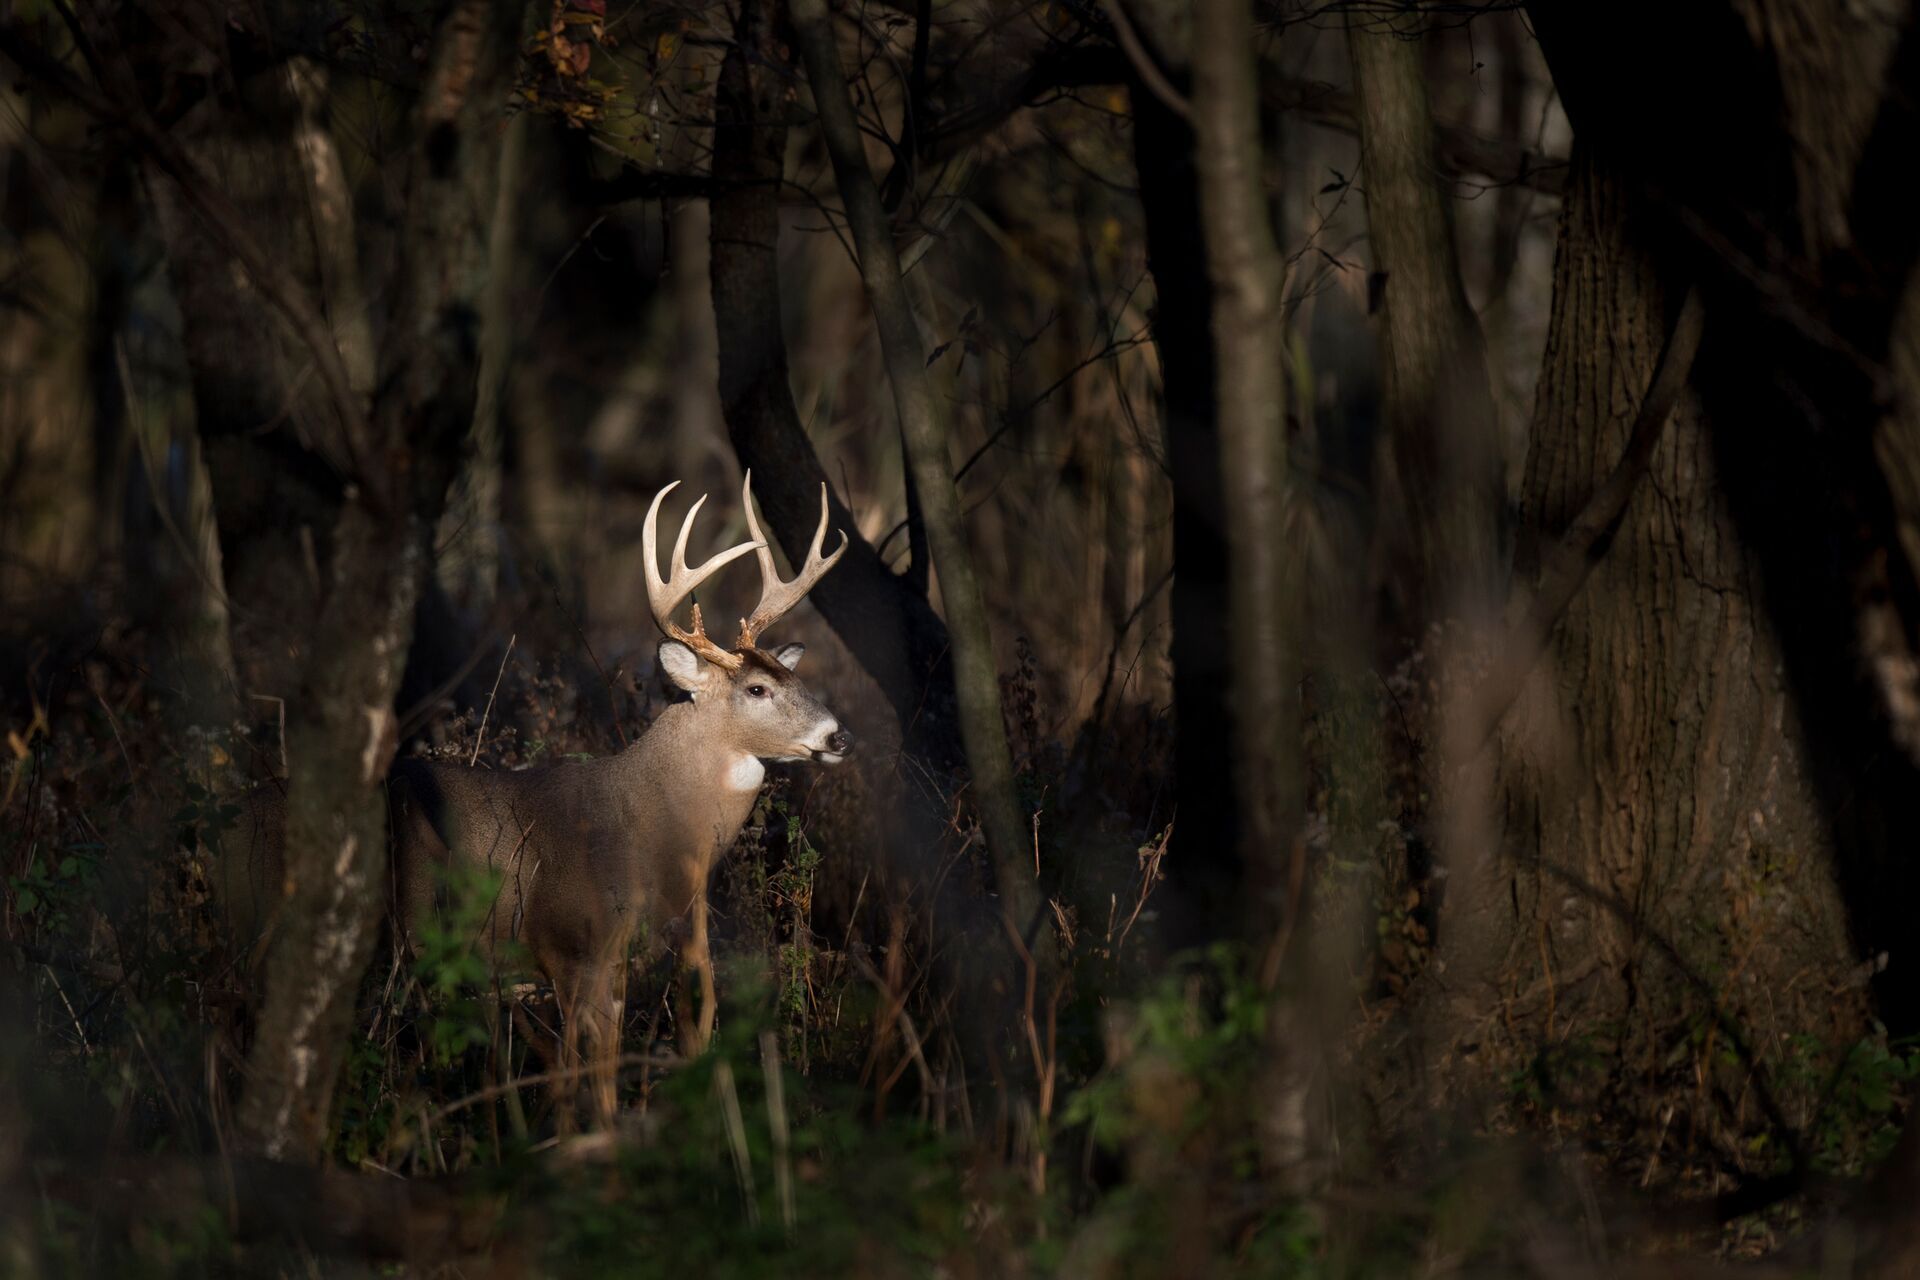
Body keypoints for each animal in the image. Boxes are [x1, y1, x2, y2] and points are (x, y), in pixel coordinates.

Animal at [217, 475, 848, 1113]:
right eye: (758, 688)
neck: (643, 829)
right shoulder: (572, 944)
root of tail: (229, 822)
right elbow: (593, 1072)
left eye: (793, 677)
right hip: (264, 920)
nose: (837, 735)